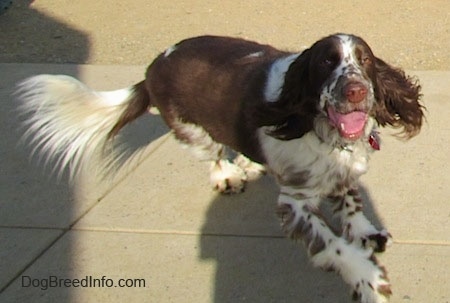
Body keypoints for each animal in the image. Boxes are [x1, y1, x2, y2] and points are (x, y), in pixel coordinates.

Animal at [17, 34, 424, 303]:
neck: (315, 126)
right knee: (212, 154)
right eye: (327, 61)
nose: (356, 90)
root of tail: (153, 67)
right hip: (194, 131)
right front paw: (368, 279)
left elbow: (351, 202)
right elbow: (333, 246)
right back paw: (227, 175)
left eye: (365, 60)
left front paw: (365, 233)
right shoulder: (294, 205)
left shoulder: (341, 171)